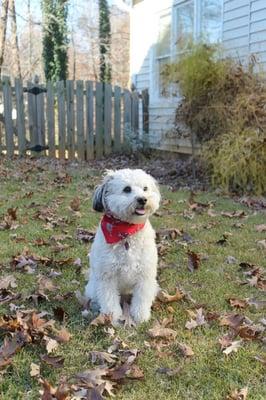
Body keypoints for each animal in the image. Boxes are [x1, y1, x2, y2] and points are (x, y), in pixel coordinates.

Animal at [84, 169, 160, 324]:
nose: (143, 199)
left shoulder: (145, 275)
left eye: (145, 188)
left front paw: (140, 315)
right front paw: (112, 316)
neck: (126, 232)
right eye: (127, 189)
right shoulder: (107, 276)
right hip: (93, 288)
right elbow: (109, 299)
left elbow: (141, 298)